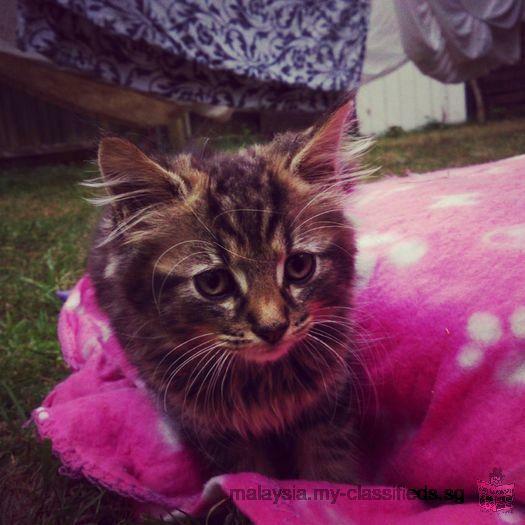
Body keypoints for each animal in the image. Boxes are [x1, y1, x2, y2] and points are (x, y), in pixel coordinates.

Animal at [88, 100, 366, 482]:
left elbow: (328, 470)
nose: (272, 328)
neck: (262, 382)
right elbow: (244, 475)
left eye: (299, 266)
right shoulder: (216, 434)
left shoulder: (328, 408)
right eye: (214, 283)